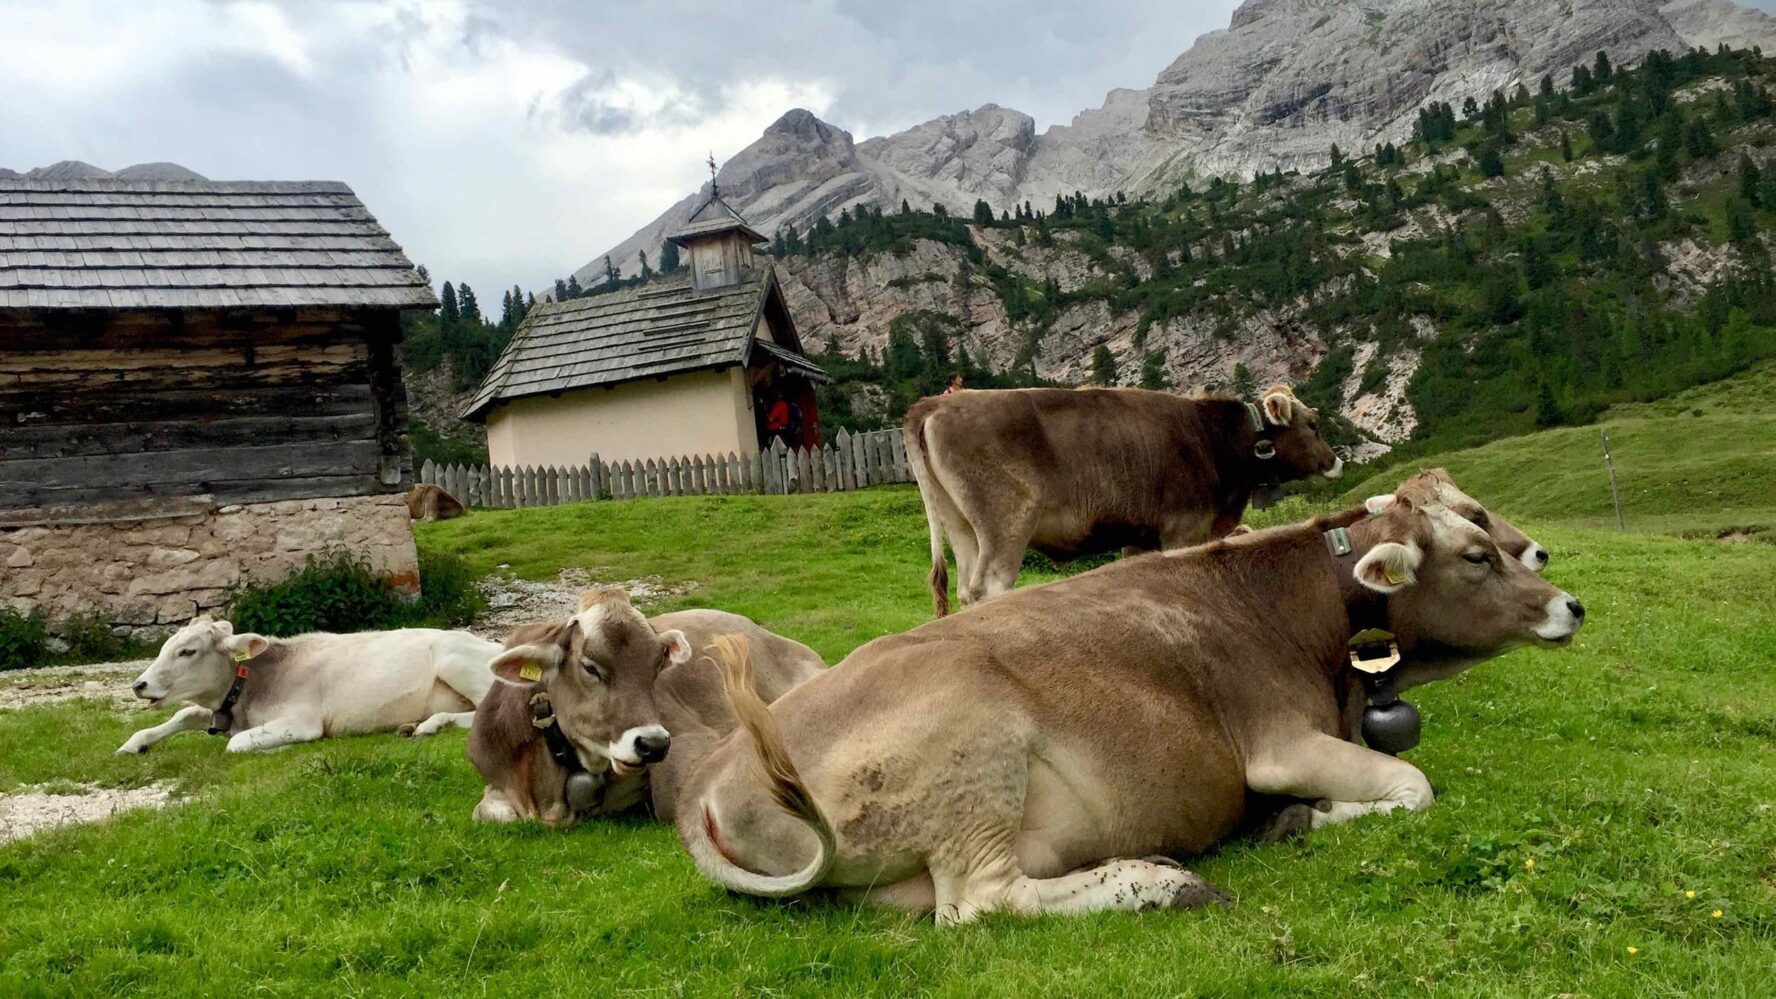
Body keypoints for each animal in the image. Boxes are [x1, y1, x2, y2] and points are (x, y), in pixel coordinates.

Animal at [117, 618, 502, 754]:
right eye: (165, 646)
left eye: (188, 651)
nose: (139, 684)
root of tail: (495, 644)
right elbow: (182, 716)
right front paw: (133, 744)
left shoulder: (302, 721)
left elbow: (236, 744)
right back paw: (411, 725)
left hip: (455, 661)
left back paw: (431, 724)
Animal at [673, 472, 1584, 924]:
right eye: (1476, 553)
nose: (1570, 602)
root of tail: (709, 785)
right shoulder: (1277, 743)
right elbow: (1414, 786)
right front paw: (1304, 818)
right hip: (973, 753)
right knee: (980, 902)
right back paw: (1161, 882)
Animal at [905, 384, 1342, 617]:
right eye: (1313, 424)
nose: (1336, 462)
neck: (1213, 440)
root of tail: (935, 403)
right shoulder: (1184, 529)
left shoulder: (1139, 537)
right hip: (1007, 522)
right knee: (989, 585)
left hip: (961, 526)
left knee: (965, 587)